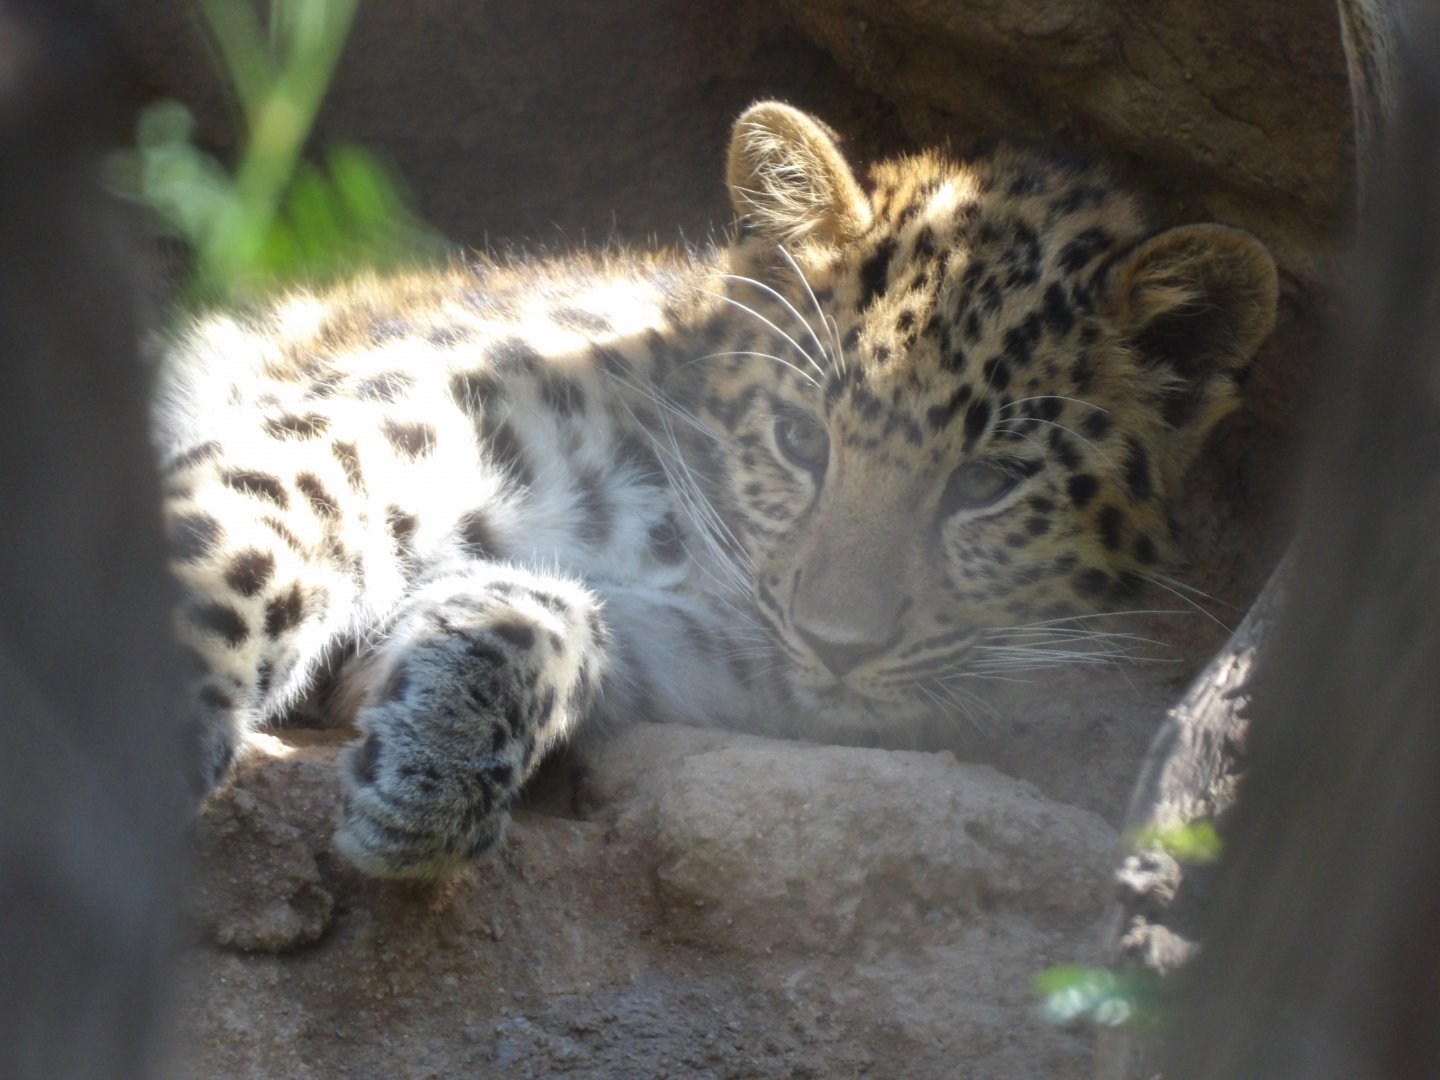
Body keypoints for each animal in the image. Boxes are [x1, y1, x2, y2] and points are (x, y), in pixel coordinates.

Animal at [157, 101, 1277, 878]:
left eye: (987, 484)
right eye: (799, 440)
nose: (836, 645)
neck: (686, 540)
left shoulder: (698, 662)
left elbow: (551, 618)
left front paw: (432, 761)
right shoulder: (386, 420)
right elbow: (246, 540)